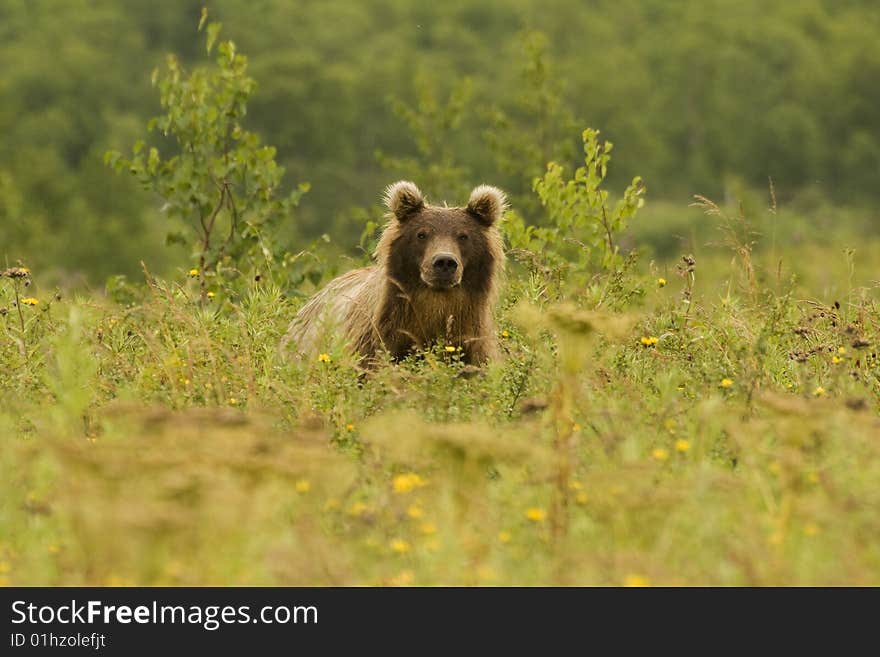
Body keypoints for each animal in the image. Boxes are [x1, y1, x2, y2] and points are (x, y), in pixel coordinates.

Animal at [286, 182, 506, 366]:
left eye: (463, 236)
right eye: (421, 234)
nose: (444, 262)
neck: (434, 304)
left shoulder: (471, 336)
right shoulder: (380, 336)